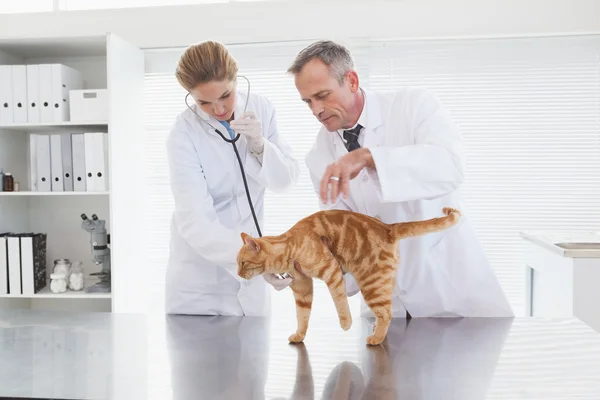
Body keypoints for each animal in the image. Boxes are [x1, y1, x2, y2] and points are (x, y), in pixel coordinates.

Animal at [237, 206, 462, 344]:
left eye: (243, 263)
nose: (238, 274)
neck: (288, 247)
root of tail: (388, 227)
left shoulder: (332, 271)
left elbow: (339, 300)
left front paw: (346, 323)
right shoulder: (302, 288)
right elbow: (302, 315)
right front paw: (300, 335)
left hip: (371, 283)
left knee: (386, 312)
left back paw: (376, 339)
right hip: (382, 282)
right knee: (386, 310)